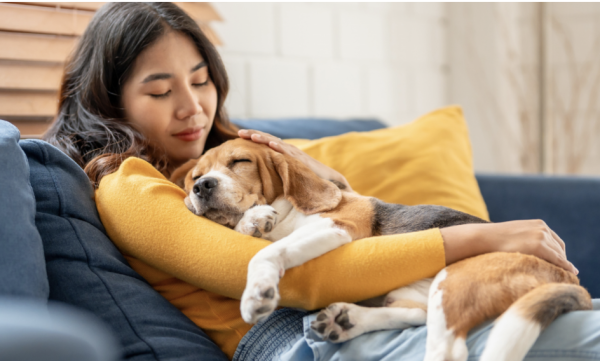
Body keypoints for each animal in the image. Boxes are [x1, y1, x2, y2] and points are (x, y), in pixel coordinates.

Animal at [170, 138, 592, 360]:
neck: (290, 209)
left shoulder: (338, 226)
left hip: (455, 281)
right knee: (415, 315)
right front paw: (253, 220)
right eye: (195, 176)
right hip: (420, 290)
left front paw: (258, 291)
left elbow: (266, 253)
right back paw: (348, 321)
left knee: (447, 347)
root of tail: (570, 279)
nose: (202, 187)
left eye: (239, 161)